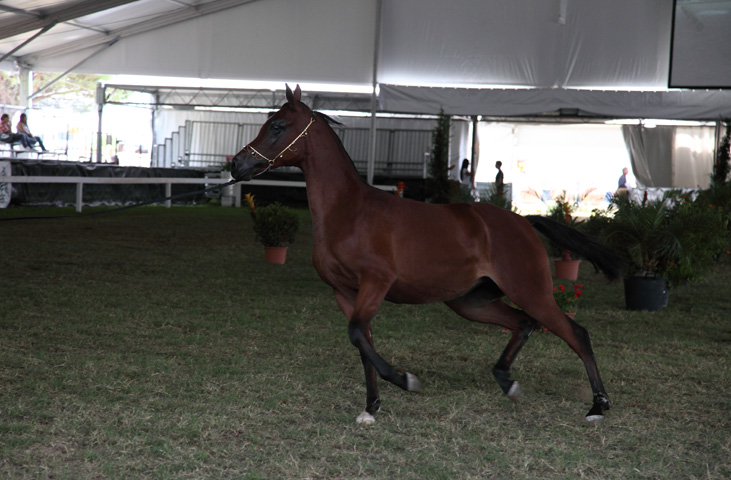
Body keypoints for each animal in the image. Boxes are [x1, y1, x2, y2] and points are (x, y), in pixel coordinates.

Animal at [231, 85, 622, 425]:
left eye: (277, 126)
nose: (236, 165)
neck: (350, 211)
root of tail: (524, 221)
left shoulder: (376, 283)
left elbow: (357, 334)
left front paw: (406, 381)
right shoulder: (344, 293)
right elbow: (362, 343)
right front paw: (371, 407)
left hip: (532, 292)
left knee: (576, 334)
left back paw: (598, 406)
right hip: (471, 302)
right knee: (524, 324)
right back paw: (507, 381)